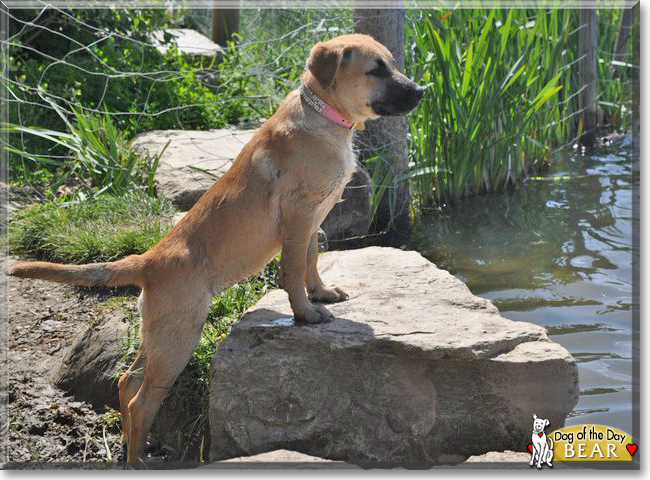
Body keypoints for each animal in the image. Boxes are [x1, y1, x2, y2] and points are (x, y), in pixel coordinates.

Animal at [10, 33, 426, 462]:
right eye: (376, 70)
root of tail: (148, 261)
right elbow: (293, 271)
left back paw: (134, 450)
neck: (324, 117)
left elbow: (311, 262)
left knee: (127, 382)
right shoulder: (298, 217)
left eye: (392, 64)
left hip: (160, 333)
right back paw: (139, 462)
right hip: (180, 335)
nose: (421, 92)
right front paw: (306, 314)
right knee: (142, 400)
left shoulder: (313, 220)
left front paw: (322, 293)